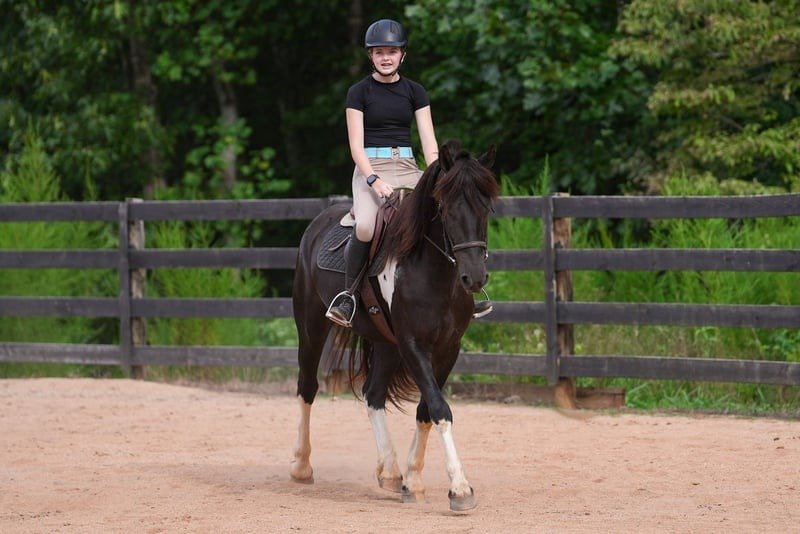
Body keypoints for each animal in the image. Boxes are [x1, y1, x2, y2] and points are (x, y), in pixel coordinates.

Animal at [290, 140, 499, 511]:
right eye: (447, 209)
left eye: (485, 208)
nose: (474, 278)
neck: (432, 272)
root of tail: (318, 223)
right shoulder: (413, 344)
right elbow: (440, 407)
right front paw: (460, 489)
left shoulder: (448, 348)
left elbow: (427, 409)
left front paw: (412, 481)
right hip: (312, 326)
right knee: (308, 386)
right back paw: (302, 467)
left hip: (386, 343)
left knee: (373, 394)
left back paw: (390, 471)